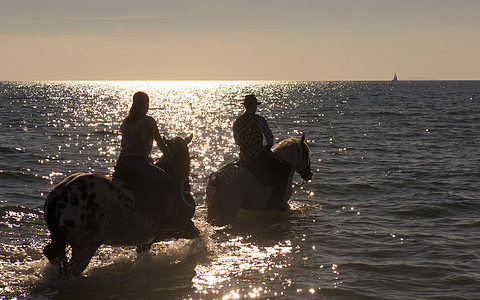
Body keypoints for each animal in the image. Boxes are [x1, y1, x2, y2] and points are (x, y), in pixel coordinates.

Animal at [42, 135, 197, 278]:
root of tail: (60, 192)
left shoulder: (146, 238)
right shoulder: (184, 227)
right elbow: (197, 235)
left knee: (51, 253)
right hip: (86, 247)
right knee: (72, 270)